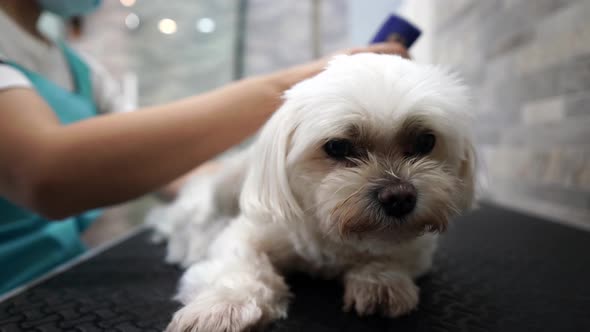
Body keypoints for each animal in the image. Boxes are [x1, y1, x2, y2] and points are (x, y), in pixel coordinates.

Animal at [150, 53, 478, 330]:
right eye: (337, 147)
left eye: (425, 141)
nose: (399, 197)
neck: (333, 233)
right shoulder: (252, 231)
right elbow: (236, 263)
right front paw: (223, 305)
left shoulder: (416, 248)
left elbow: (391, 255)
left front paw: (380, 281)